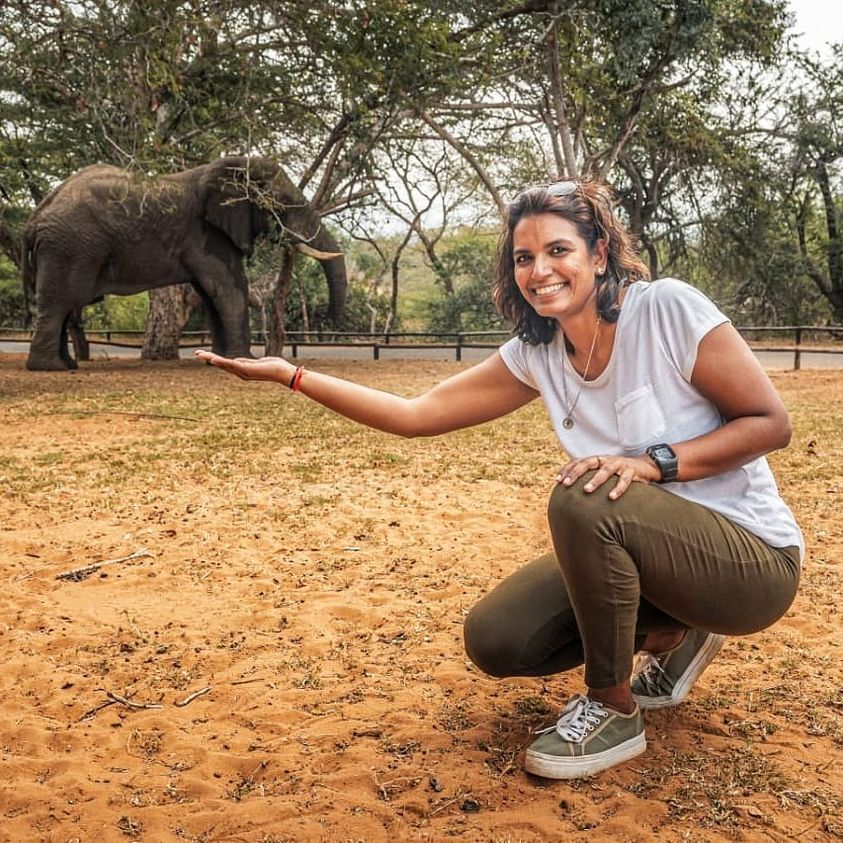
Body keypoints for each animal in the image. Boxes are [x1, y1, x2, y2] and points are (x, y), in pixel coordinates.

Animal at [23, 157, 348, 370]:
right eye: (281, 203)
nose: (327, 319)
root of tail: (36, 215)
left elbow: (211, 294)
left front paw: (222, 358)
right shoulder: (206, 234)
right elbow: (228, 289)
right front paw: (244, 359)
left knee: (63, 304)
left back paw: (67, 365)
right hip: (71, 246)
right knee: (61, 301)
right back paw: (50, 368)